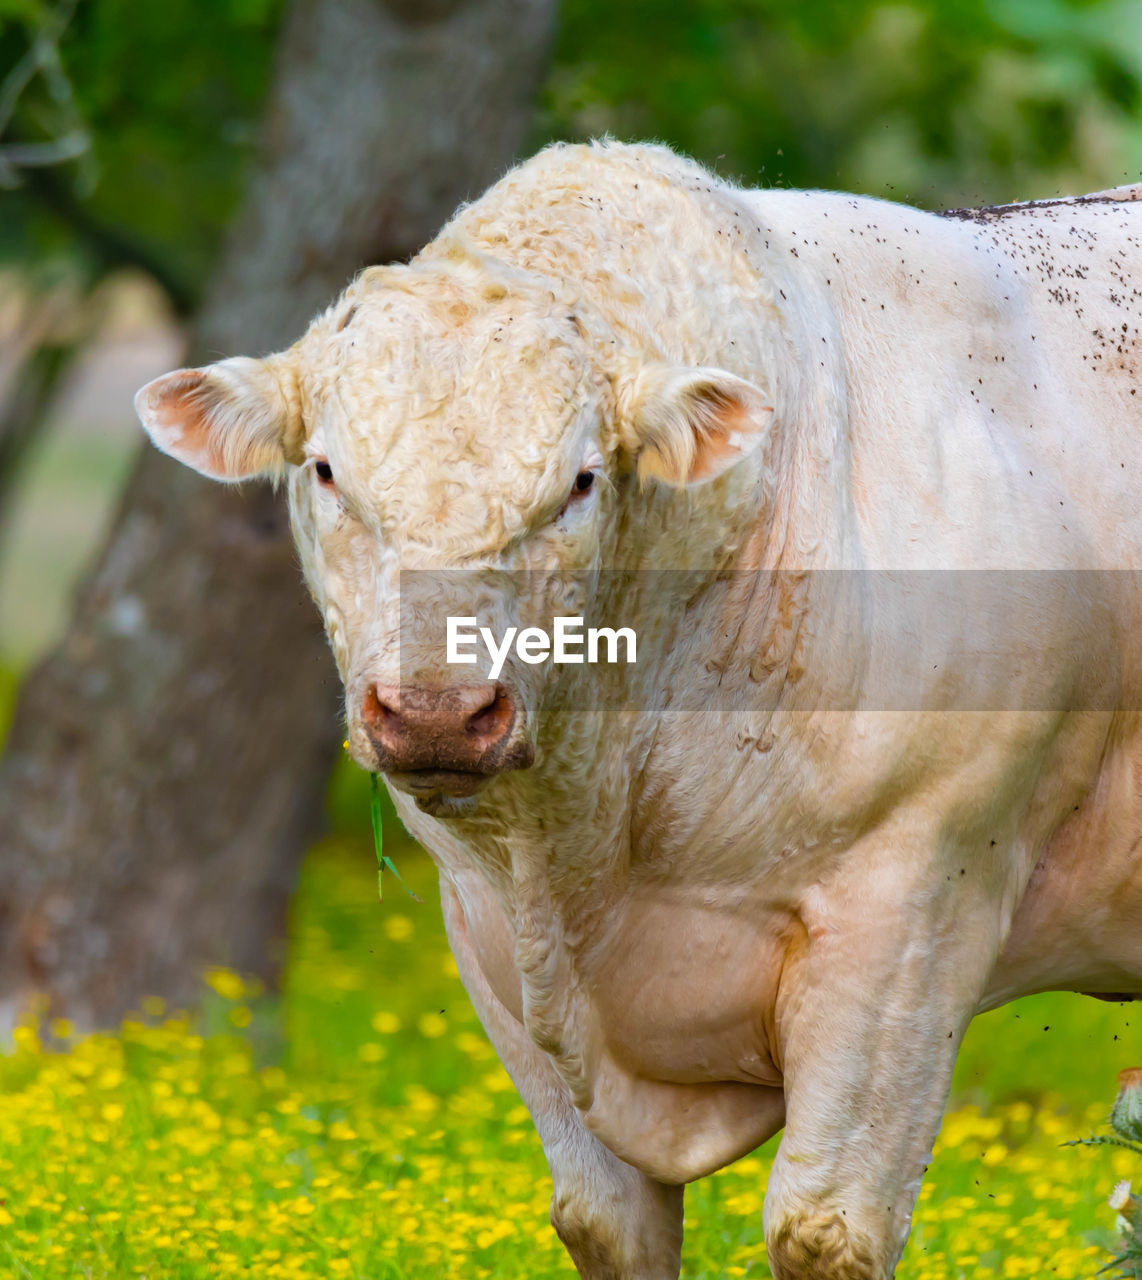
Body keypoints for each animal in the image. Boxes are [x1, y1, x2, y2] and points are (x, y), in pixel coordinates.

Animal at [136, 142, 1142, 1280]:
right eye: (324, 470)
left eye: (579, 481)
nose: (436, 711)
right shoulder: (488, 932)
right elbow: (602, 1219)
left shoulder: (917, 900)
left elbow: (824, 1227)